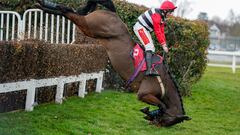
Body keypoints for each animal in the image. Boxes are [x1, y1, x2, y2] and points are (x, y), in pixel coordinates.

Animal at [37, 0, 190, 126]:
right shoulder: (143, 93)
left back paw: (43, 5)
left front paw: (148, 114)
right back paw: (44, 4)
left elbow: (161, 105)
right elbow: (162, 106)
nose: (158, 125)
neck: (164, 80)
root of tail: (113, 13)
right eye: (171, 122)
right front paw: (149, 113)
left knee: (70, 11)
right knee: (67, 11)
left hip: (90, 30)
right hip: (90, 26)